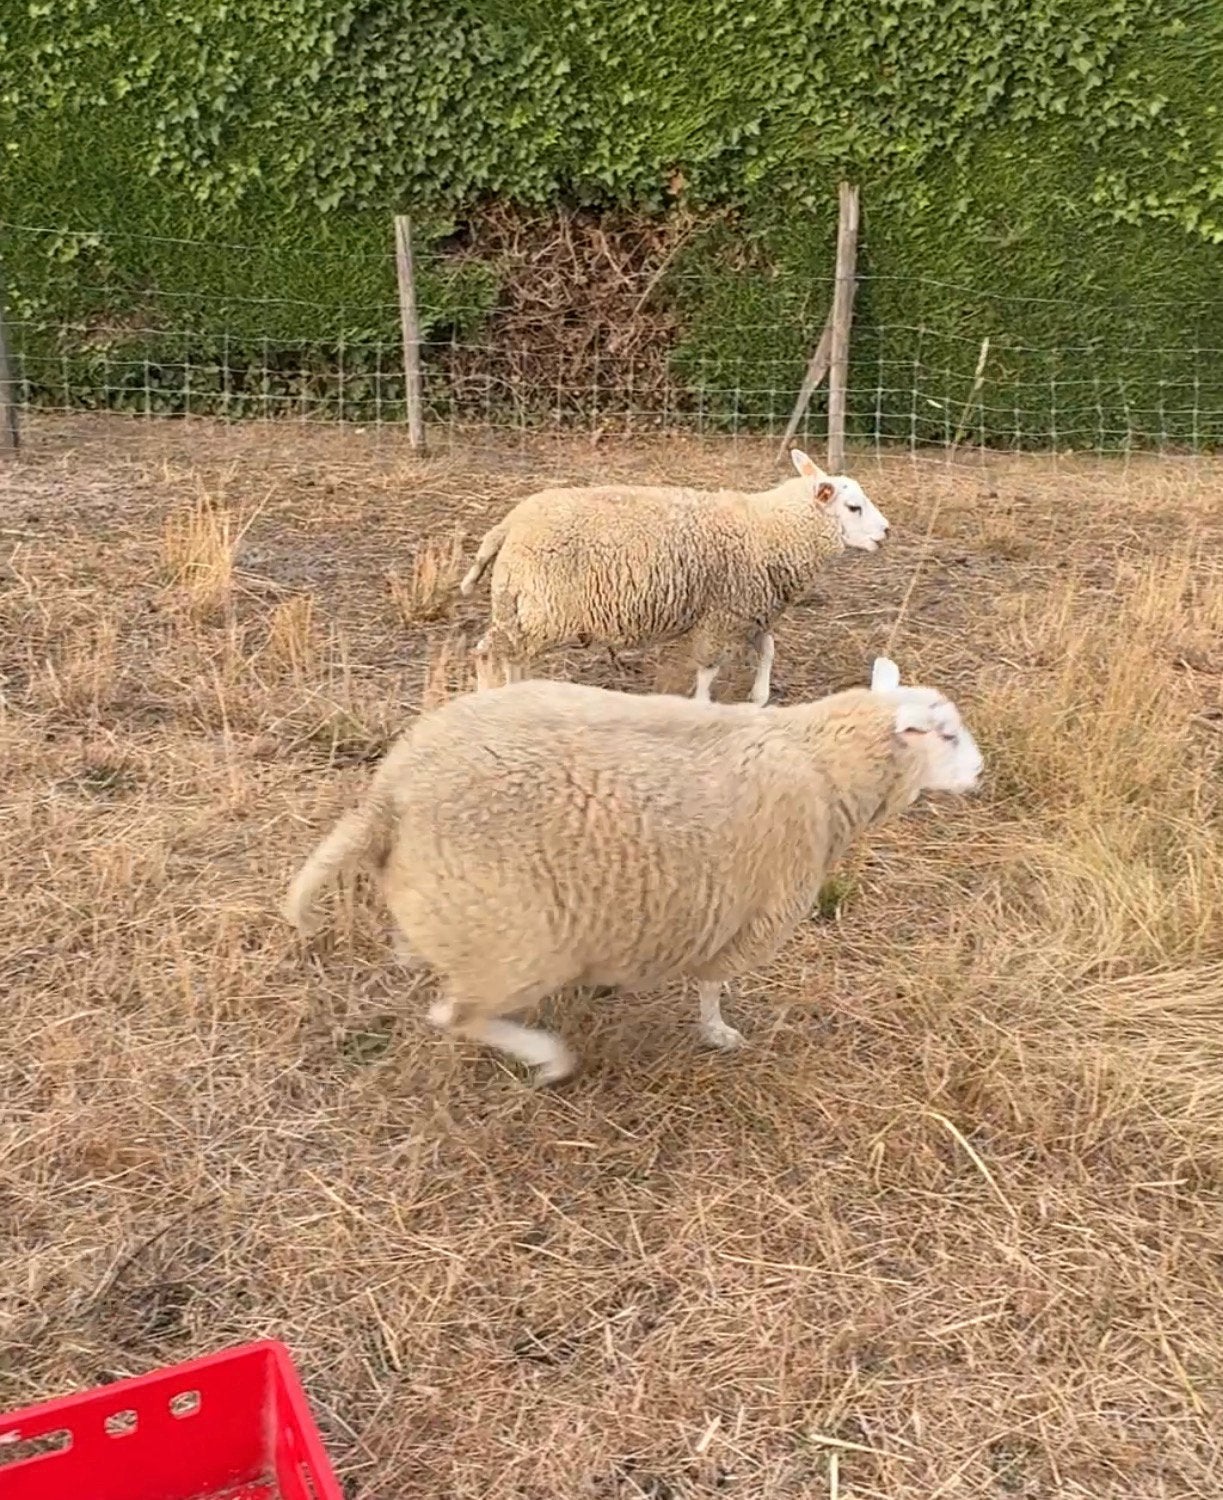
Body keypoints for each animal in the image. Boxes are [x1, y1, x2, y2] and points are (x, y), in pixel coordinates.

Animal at [282, 656, 982, 1085]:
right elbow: (712, 985)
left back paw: (412, 952)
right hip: (514, 939)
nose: (981, 772)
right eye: (945, 736)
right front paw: (719, 1033)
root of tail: (388, 797)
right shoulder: (751, 912)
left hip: (457, 909)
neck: (820, 763)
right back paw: (550, 1059)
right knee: (455, 1016)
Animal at [458, 449, 890, 706]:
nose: (886, 532)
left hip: (520, 607)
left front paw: (759, 695)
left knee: (511, 655)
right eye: (853, 507)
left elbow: (768, 649)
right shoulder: (723, 615)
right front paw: (703, 704)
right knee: (487, 652)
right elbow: (709, 668)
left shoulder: (751, 610)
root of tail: (509, 526)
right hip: (541, 607)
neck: (769, 529)